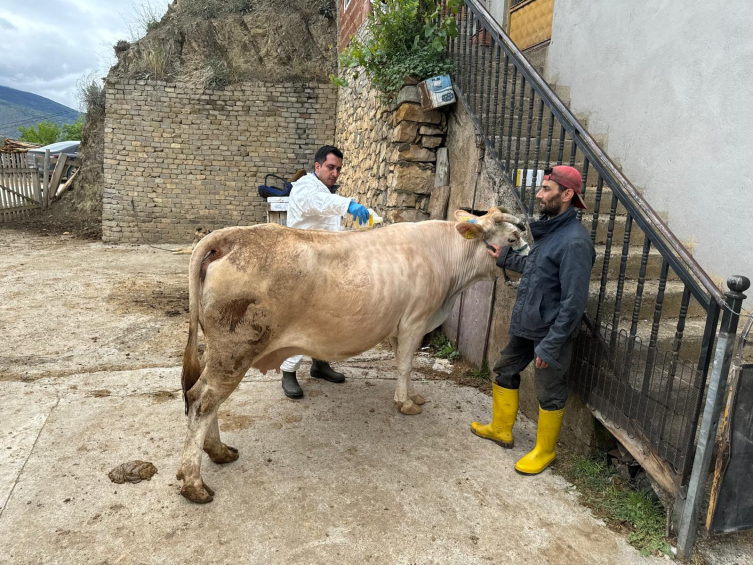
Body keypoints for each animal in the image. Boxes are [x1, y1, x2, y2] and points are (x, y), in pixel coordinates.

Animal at [176, 207, 528, 502]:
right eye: (513, 238)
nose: (528, 264)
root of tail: (230, 235)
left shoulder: (399, 325)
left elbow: (404, 364)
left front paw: (413, 394)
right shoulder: (415, 320)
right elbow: (405, 365)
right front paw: (406, 403)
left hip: (221, 351)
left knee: (207, 398)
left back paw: (219, 451)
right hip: (235, 348)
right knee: (202, 400)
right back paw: (195, 483)